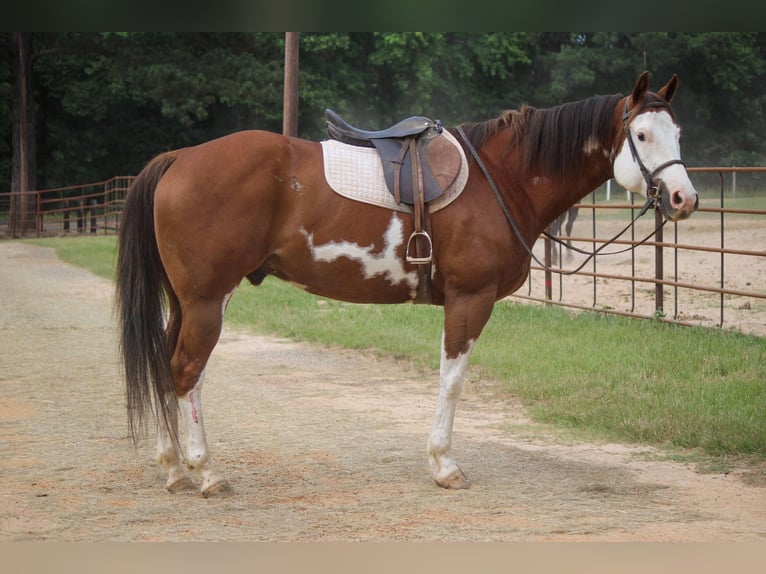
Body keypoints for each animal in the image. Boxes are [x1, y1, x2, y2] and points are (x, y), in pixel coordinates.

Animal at [117, 70, 700, 498]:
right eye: (641, 135)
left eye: (678, 134)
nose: (683, 199)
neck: (501, 178)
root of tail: (180, 159)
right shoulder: (469, 300)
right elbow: (452, 380)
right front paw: (444, 465)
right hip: (207, 300)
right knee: (187, 372)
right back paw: (205, 471)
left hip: (186, 302)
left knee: (168, 365)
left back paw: (173, 468)